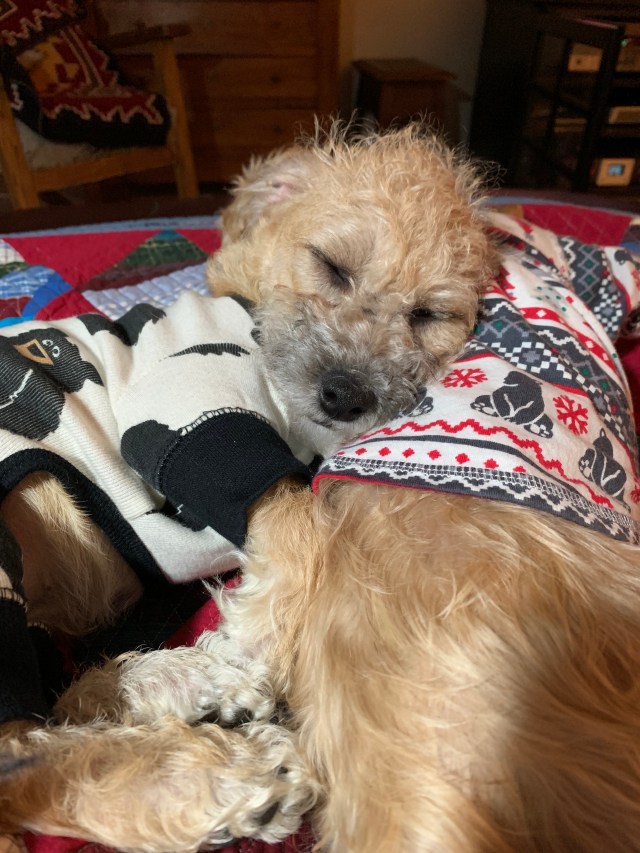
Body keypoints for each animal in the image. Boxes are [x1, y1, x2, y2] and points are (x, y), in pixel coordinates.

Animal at [0, 122, 496, 850]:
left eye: (429, 314)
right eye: (332, 266)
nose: (346, 394)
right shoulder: (187, 400)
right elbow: (299, 516)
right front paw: (258, 637)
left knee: (48, 710)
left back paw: (182, 682)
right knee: (19, 757)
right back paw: (224, 780)